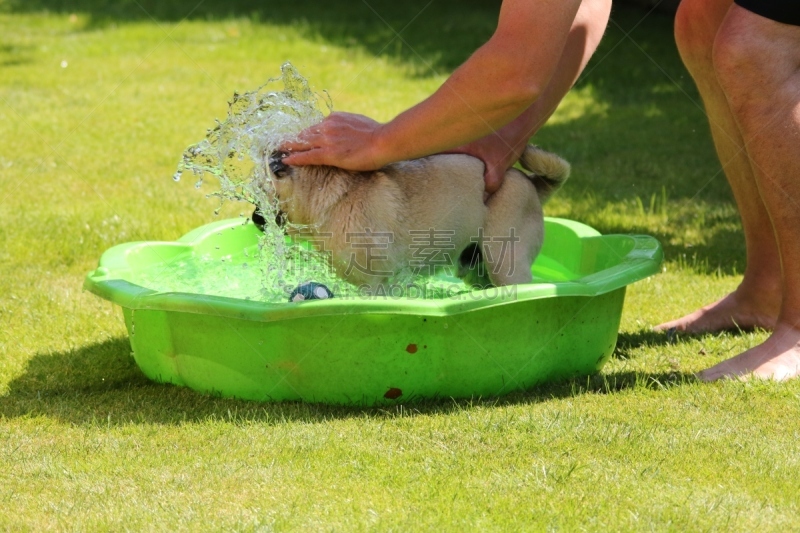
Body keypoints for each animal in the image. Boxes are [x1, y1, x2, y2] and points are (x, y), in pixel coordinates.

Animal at [266, 144, 572, 290]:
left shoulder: (374, 283)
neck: (337, 193)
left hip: (504, 263)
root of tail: (533, 183)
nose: (258, 217)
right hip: (476, 266)